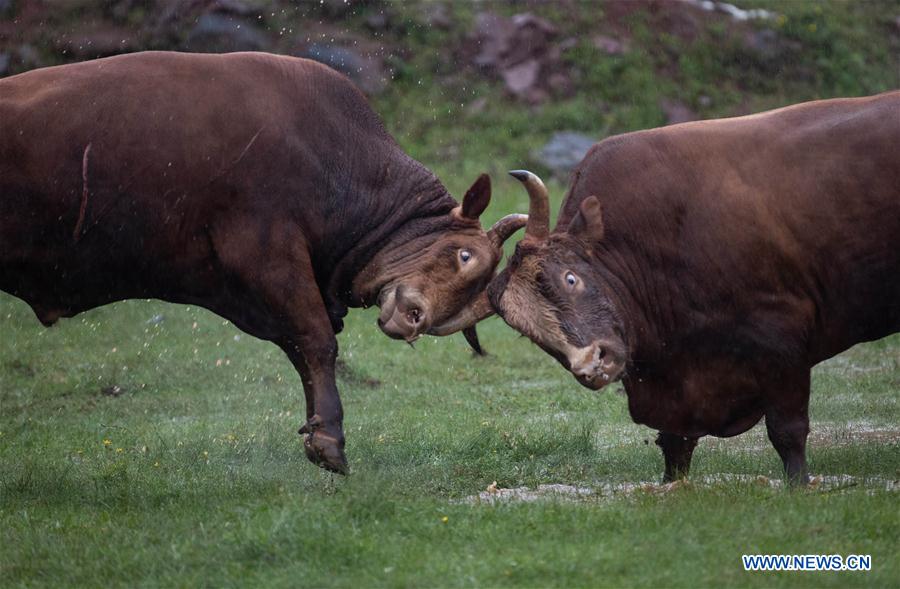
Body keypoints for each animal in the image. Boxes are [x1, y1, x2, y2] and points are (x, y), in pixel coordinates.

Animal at [0, 50, 524, 474]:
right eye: (464, 256)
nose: (415, 319)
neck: (331, 156)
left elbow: (302, 350)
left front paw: (317, 431)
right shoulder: (268, 253)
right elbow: (316, 341)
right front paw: (330, 440)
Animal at [492, 93, 900, 482]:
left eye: (571, 278)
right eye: (528, 332)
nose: (592, 364)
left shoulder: (784, 340)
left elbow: (788, 431)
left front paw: (798, 483)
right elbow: (675, 442)